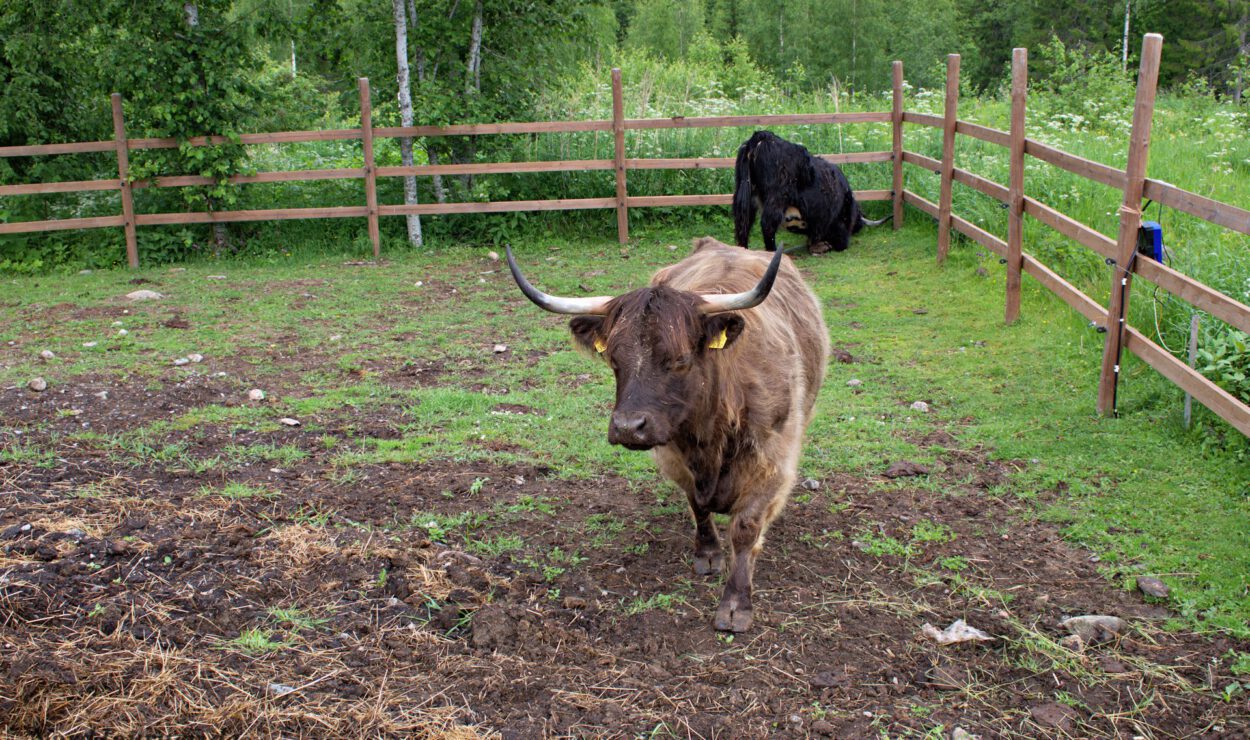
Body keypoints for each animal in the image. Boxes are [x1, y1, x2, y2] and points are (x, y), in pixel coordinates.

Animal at [730, 133, 890, 257]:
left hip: (744, 195)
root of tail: (762, 136)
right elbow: (839, 243)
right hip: (777, 198)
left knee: (742, 225)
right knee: (767, 224)